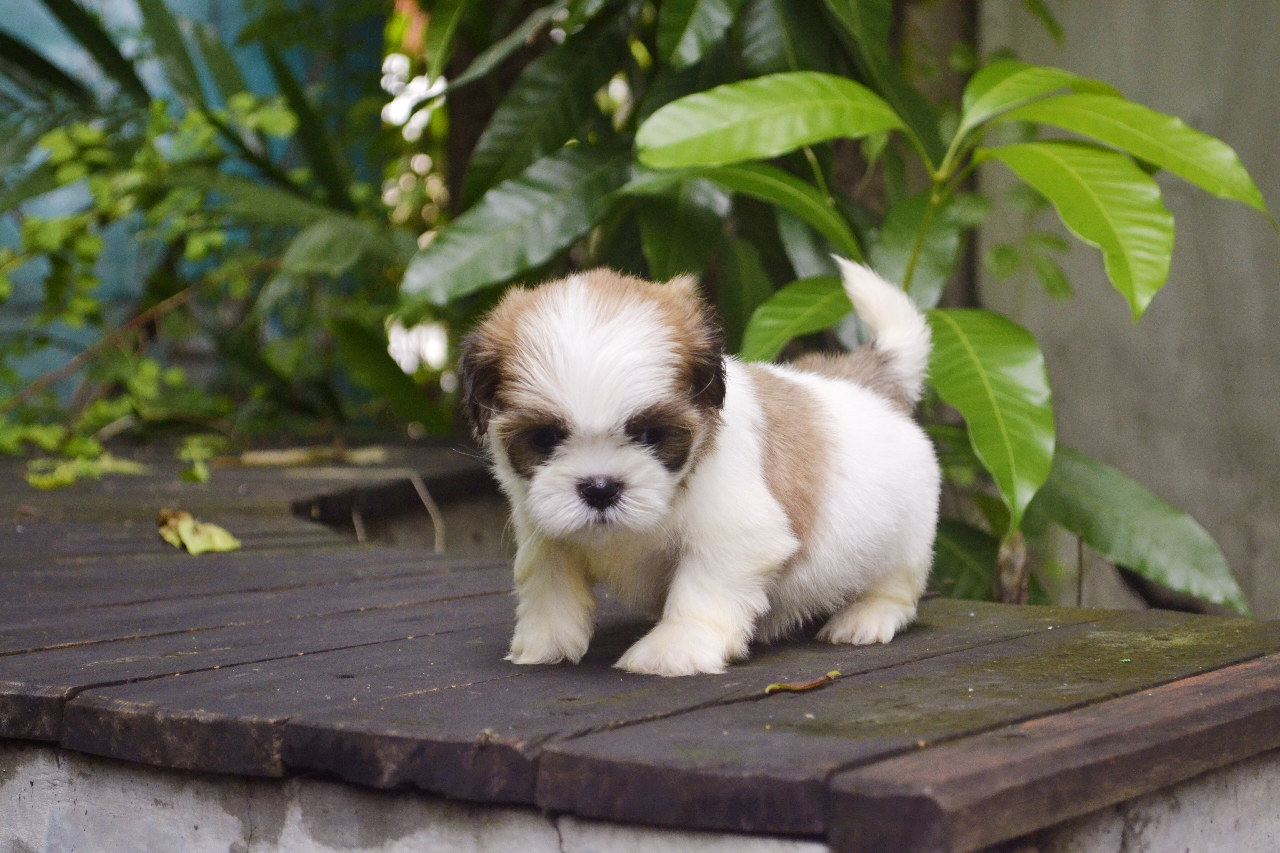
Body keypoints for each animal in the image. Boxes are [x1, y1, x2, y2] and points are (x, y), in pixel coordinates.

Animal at [458, 258, 940, 676]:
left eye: (651, 435)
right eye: (545, 438)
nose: (600, 488)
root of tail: (864, 380)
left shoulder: (735, 535)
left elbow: (703, 586)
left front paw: (674, 648)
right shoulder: (542, 528)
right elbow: (548, 583)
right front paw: (544, 643)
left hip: (906, 536)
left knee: (896, 584)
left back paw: (867, 616)